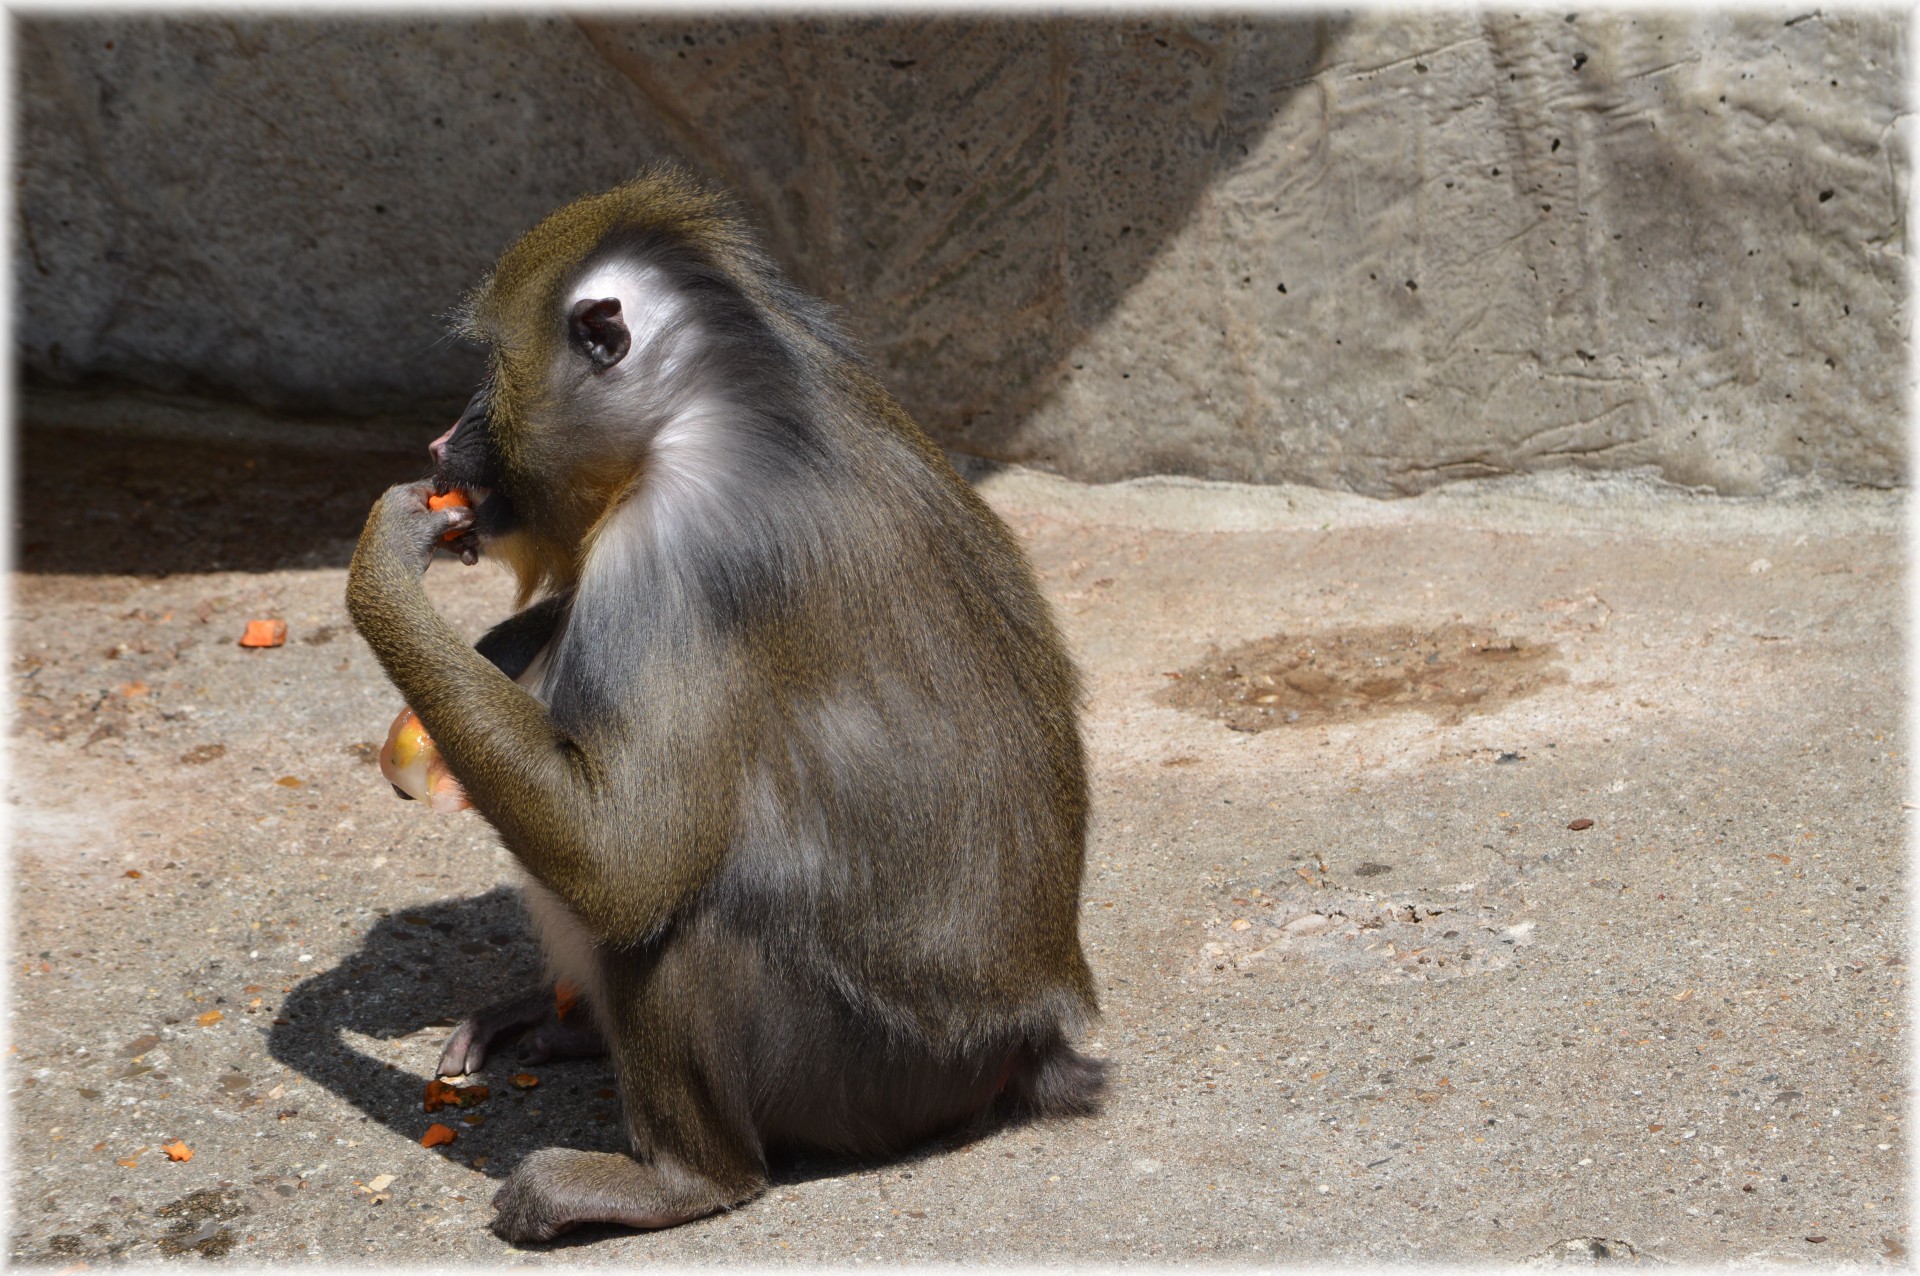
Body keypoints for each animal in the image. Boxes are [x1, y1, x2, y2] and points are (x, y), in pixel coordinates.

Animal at [337, 164, 1105, 1235]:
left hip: (861, 1072)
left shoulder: (674, 551)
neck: (701, 409)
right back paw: (567, 1023)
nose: (442, 440)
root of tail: (1022, 1043)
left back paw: (680, 1180)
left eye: (492, 366)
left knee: (681, 915)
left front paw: (382, 566)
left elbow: (626, 862)